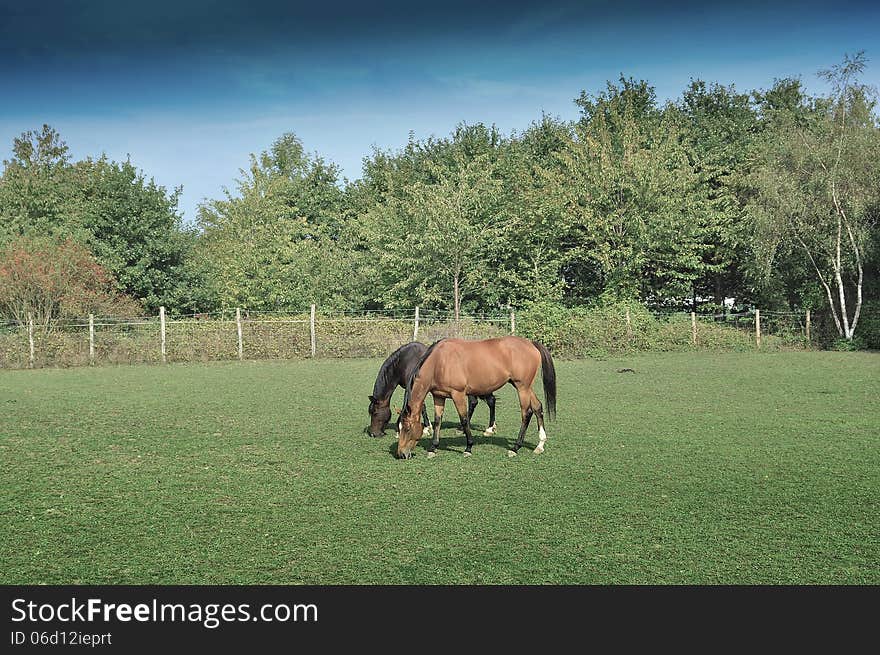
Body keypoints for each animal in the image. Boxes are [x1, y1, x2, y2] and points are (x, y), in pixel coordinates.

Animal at [368, 344, 498, 436]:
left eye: (374, 412)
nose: (373, 434)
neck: (404, 362)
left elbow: (421, 407)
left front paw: (426, 428)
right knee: (486, 402)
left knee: (479, 402)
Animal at [398, 338, 556, 462]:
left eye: (407, 428)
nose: (401, 454)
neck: (439, 362)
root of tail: (531, 344)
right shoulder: (439, 396)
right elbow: (437, 421)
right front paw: (433, 448)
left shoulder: (458, 394)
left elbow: (464, 419)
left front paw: (468, 447)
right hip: (526, 387)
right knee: (538, 407)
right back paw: (540, 445)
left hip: (522, 387)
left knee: (526, 414)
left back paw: (515, 447)